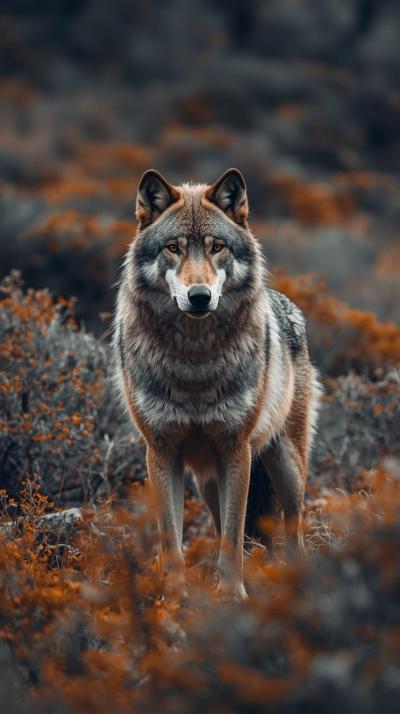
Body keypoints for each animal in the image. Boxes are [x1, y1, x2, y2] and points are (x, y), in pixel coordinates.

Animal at [114, 168, 321, 598]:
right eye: (173, 248)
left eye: (217, 247)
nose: (199, 296)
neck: (195, 365)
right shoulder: (161, 451)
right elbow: (171, 537)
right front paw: (174, 597)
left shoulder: (236, 449)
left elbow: (233, 537)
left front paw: (233, 595)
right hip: (206, 481)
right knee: (223, 525)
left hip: (286, 468)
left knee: (292, 531)